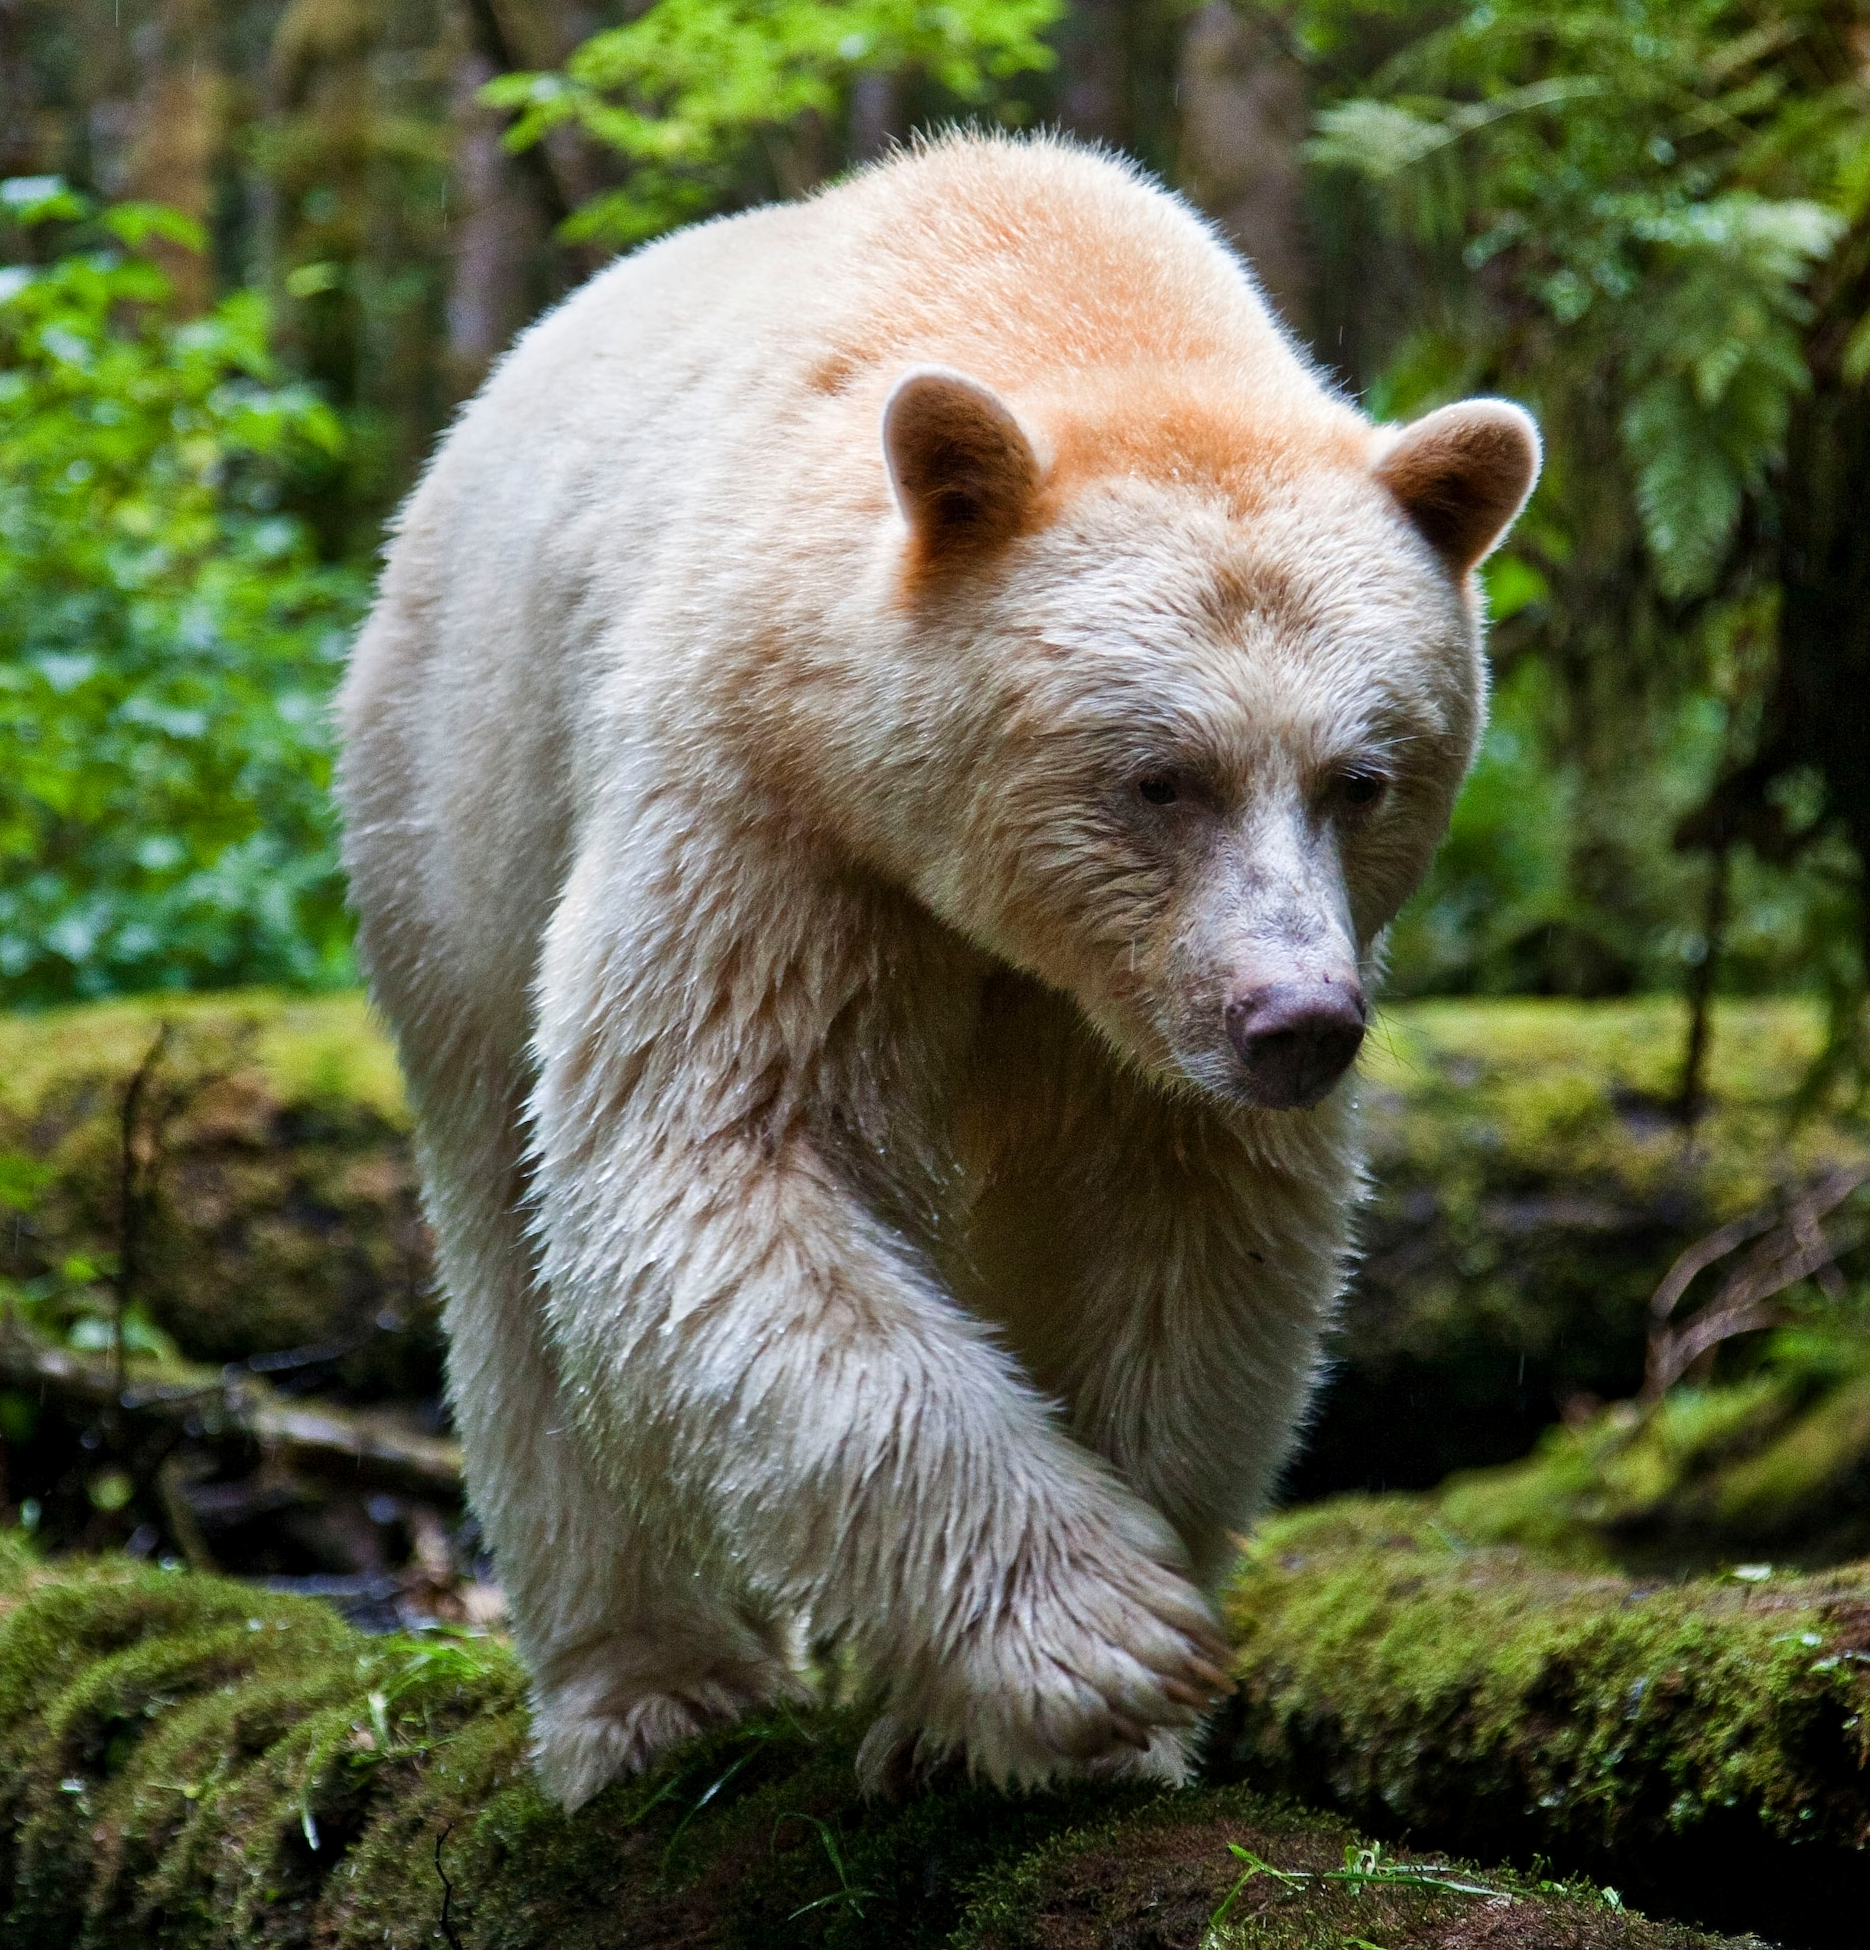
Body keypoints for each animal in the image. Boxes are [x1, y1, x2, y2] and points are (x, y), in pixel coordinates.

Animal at [335, 133, 1536, 1809]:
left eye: (1362, 776)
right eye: (1158, 775)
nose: (1294, 1022)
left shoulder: (1137, 1031)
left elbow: (1183, 1235)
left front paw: (1047, 1719)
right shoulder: (770, 808)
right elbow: (712, 1155)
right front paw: (1100, 1636)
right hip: (457, 815)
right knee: (515, 1255)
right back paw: (648, 1686)